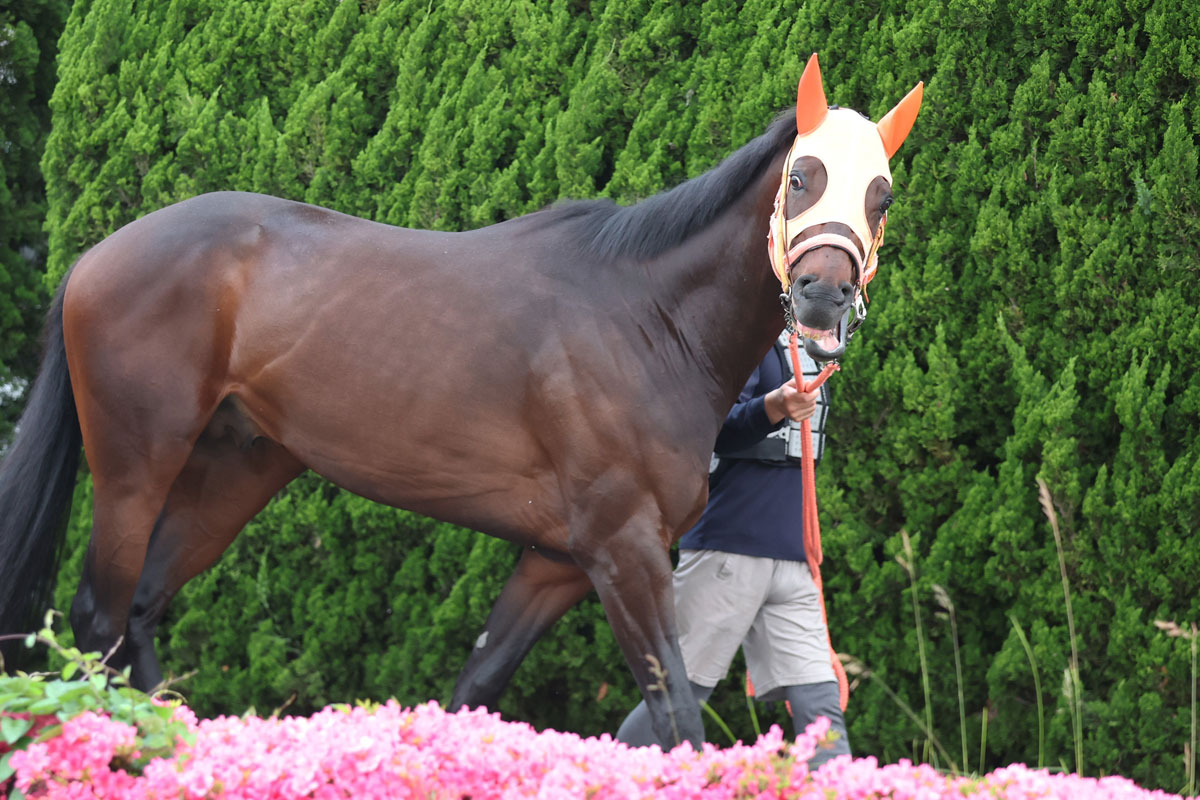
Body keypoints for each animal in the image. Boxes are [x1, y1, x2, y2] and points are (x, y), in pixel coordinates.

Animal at [0, 54, 921, 748]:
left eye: (880, 196)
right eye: (801, 176)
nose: (822, 298)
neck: (649, 320)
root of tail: (96, 258)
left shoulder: (557, 560)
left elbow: (476, 684)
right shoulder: (623, 550)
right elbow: (675, 714)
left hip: (237, 466)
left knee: (143, 611)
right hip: (136, 462)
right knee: (98, 618)